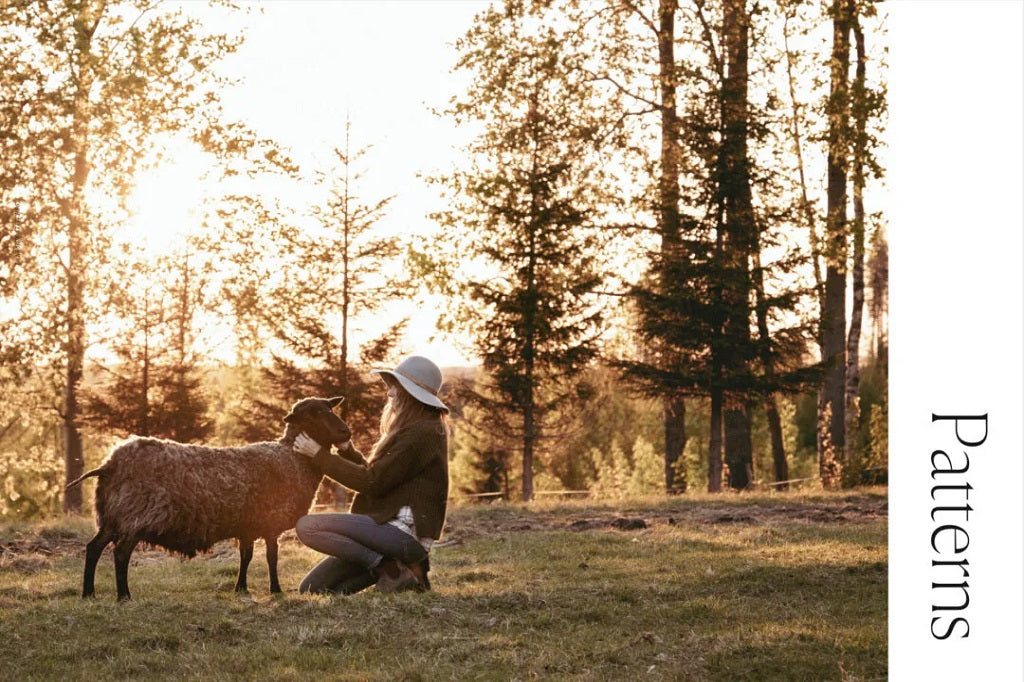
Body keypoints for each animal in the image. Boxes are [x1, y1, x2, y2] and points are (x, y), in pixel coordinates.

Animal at [69, 395, 352, 598]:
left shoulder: (248, 525)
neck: (291, 457)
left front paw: (241, 588)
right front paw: (276, 590)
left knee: (93, 547)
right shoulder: (271, 522)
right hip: (134, 516)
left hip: (112, 517)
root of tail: (109, 463)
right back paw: (124, 596)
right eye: (314, 414)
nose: (346, 433)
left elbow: (246, 556)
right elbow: (271, 558)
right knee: (120, 554)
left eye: (330, 408)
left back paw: (88, 593)